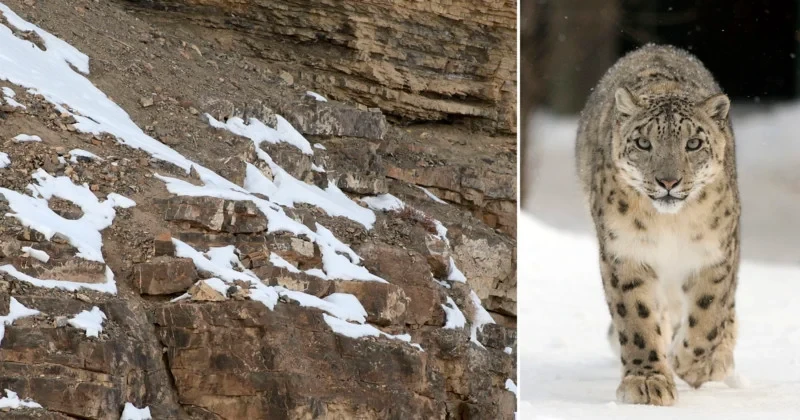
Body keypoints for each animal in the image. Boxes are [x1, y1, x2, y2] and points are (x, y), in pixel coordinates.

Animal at [575, 44, 741, 406]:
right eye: (643, 143)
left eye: (693, 143)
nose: (668, 181)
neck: (670, 226)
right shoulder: (625, 252)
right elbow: (637, 318)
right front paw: (647, 382)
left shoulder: (715, 253)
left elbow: (709, 314)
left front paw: (692, 365)